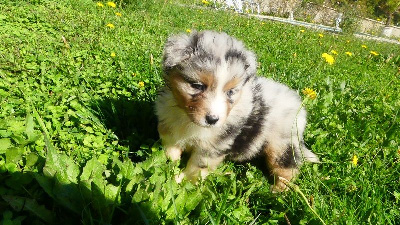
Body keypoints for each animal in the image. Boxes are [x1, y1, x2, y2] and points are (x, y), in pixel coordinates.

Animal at [155, 30, 318, 192]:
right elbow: (170, 151)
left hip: (280, 145)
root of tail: (299, 106)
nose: (212, 120)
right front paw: (169, 167)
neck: (188, 120)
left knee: (288, 169)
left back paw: (276, 191)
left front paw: (180, 181)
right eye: (197, 86)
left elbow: (196, 168)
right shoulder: (169, 128)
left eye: (231, 92)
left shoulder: (211, 148)